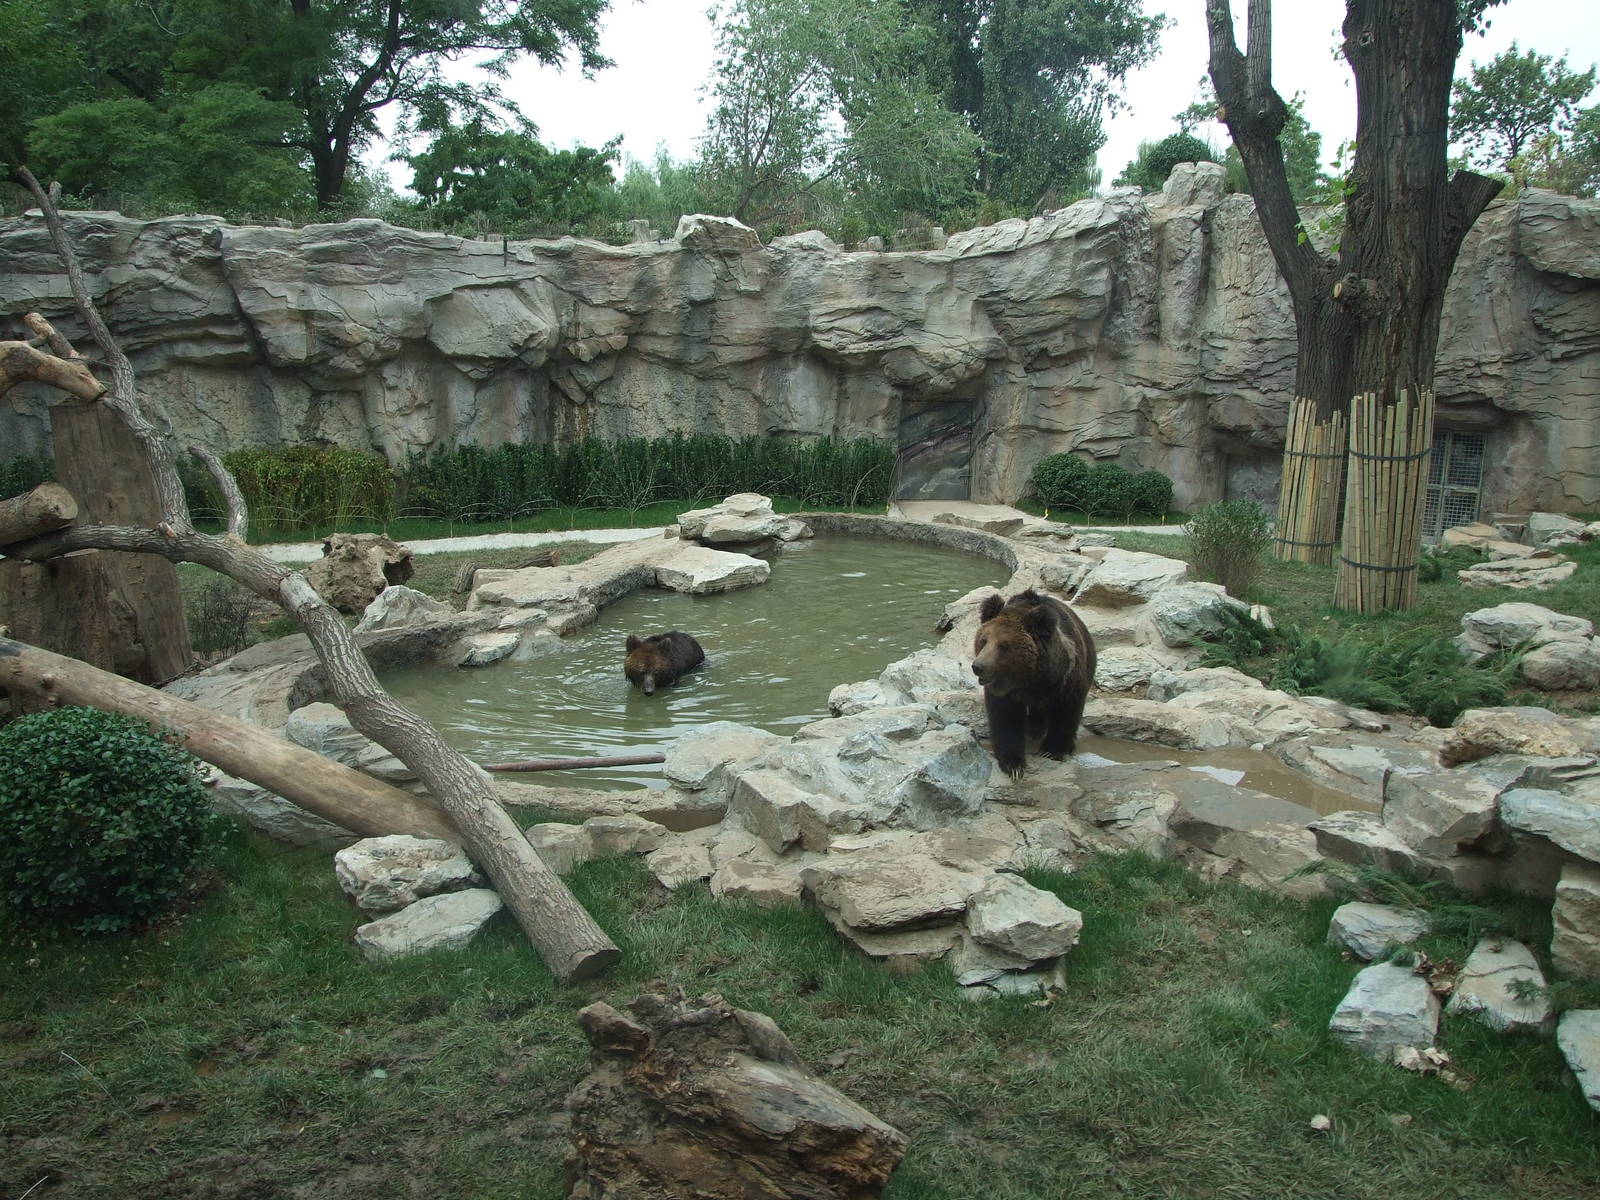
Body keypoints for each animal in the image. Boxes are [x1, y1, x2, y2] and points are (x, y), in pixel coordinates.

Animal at [970, 589, 1096, 778]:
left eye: (1004, 646)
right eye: (984, 640)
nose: (978, 666)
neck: (1030, 679)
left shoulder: (1065, 680)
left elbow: (1066, 712)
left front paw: (1052, 750)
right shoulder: (1005, 692)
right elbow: (1006, 718)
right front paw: (1013, 764)